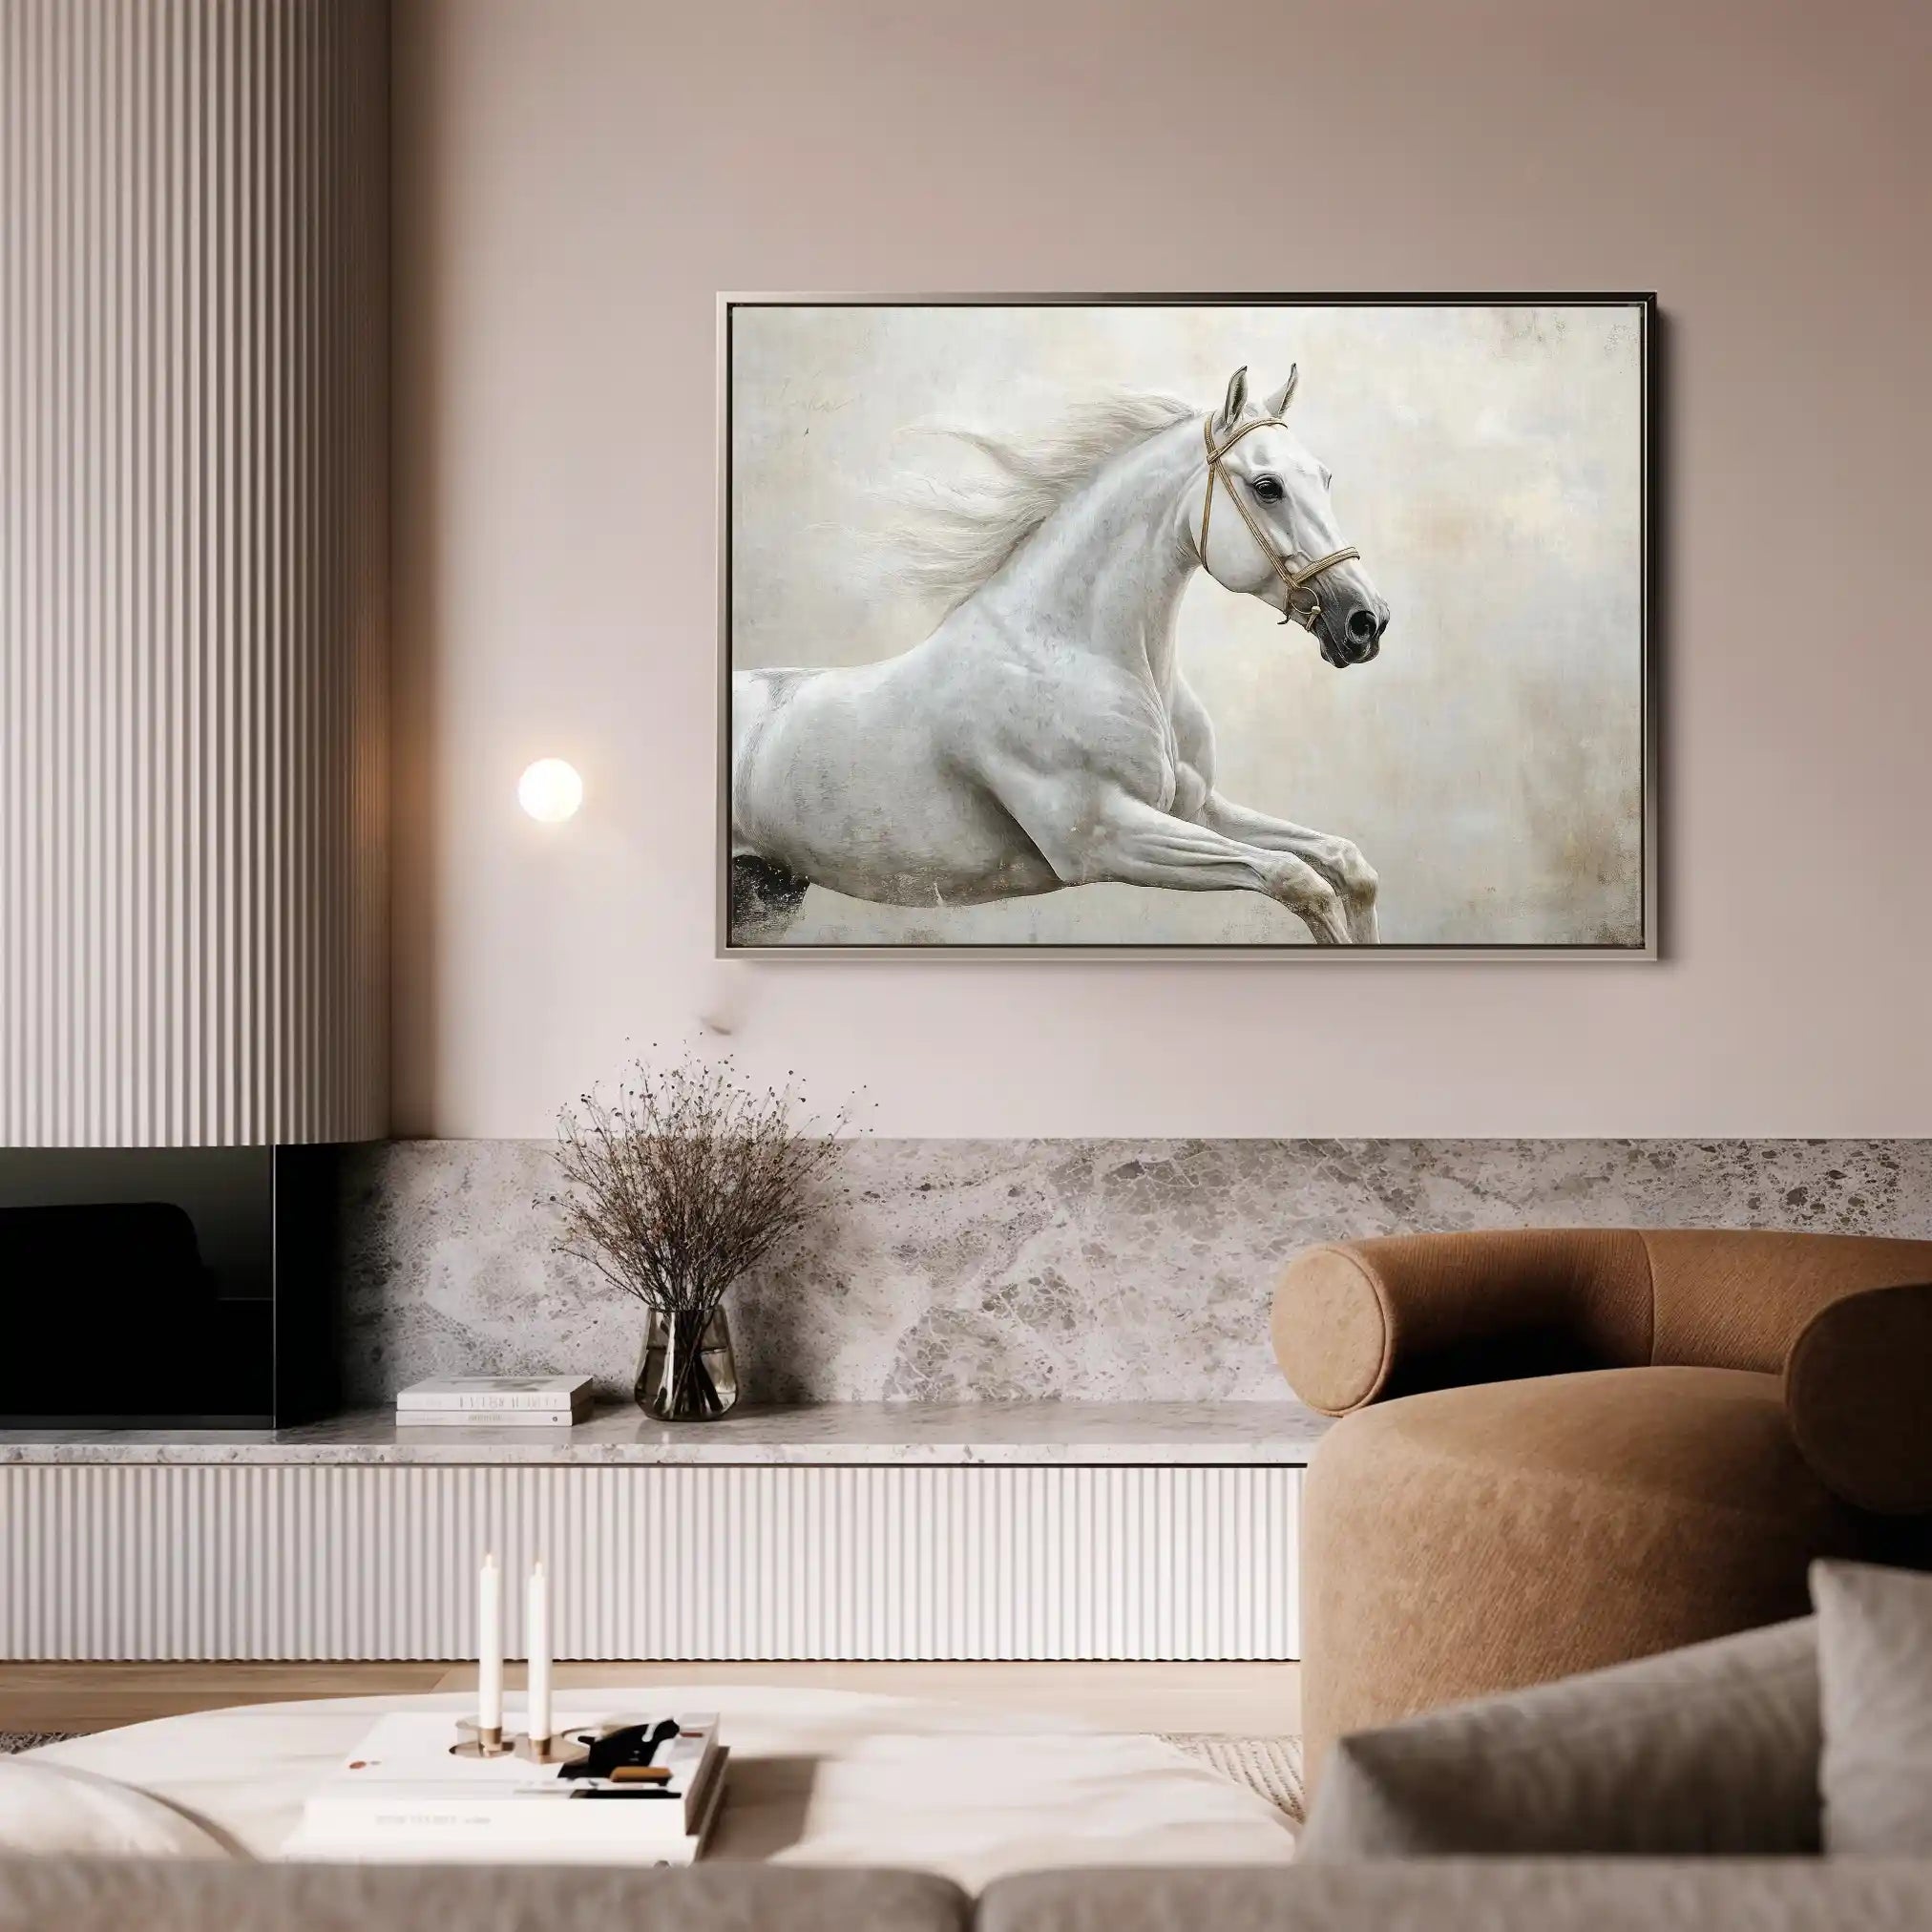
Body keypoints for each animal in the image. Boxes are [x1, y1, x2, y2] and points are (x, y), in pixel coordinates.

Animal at [729, 364, 1390, 946]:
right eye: (1267, 486)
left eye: (1324, 478)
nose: (1366, 622)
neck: (1078, 655)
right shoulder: (1106, 838)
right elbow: (1297, 879)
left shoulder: (1197, 809)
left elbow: (1348, 864)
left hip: (766, 894)